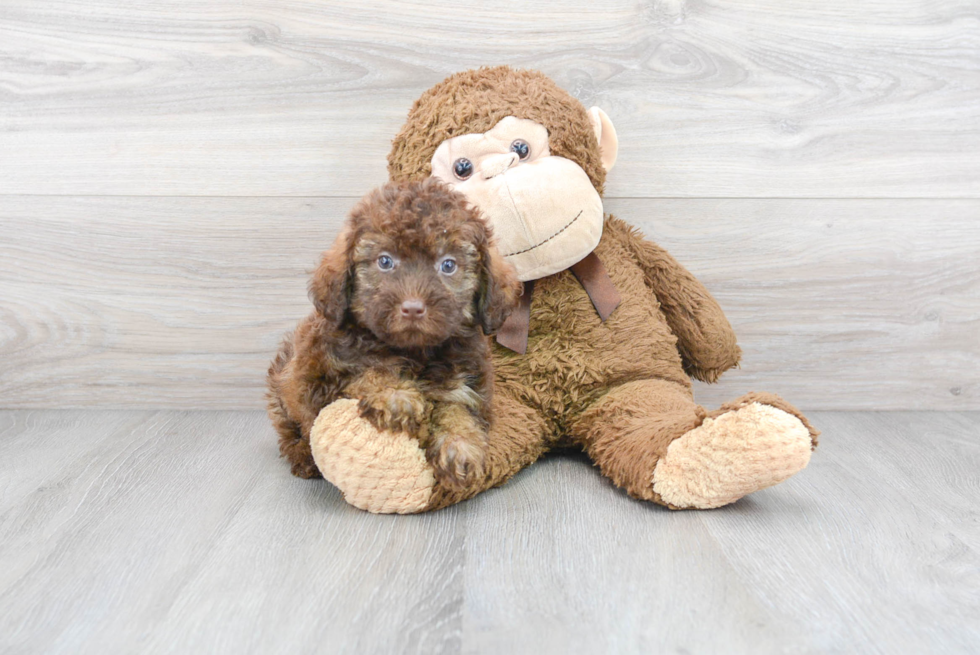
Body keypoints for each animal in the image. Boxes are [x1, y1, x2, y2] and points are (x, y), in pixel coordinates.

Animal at [264, 178, 524, 486]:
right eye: (385, 261)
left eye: (449, 265)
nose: (412, 308)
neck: (415, 353)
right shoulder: (319, 377)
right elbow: (367, 370)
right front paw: (395, 394)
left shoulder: (472, 385)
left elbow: (459, 407)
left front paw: (459, 444)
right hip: (282, 386)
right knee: (289, 429)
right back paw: (303, 455)